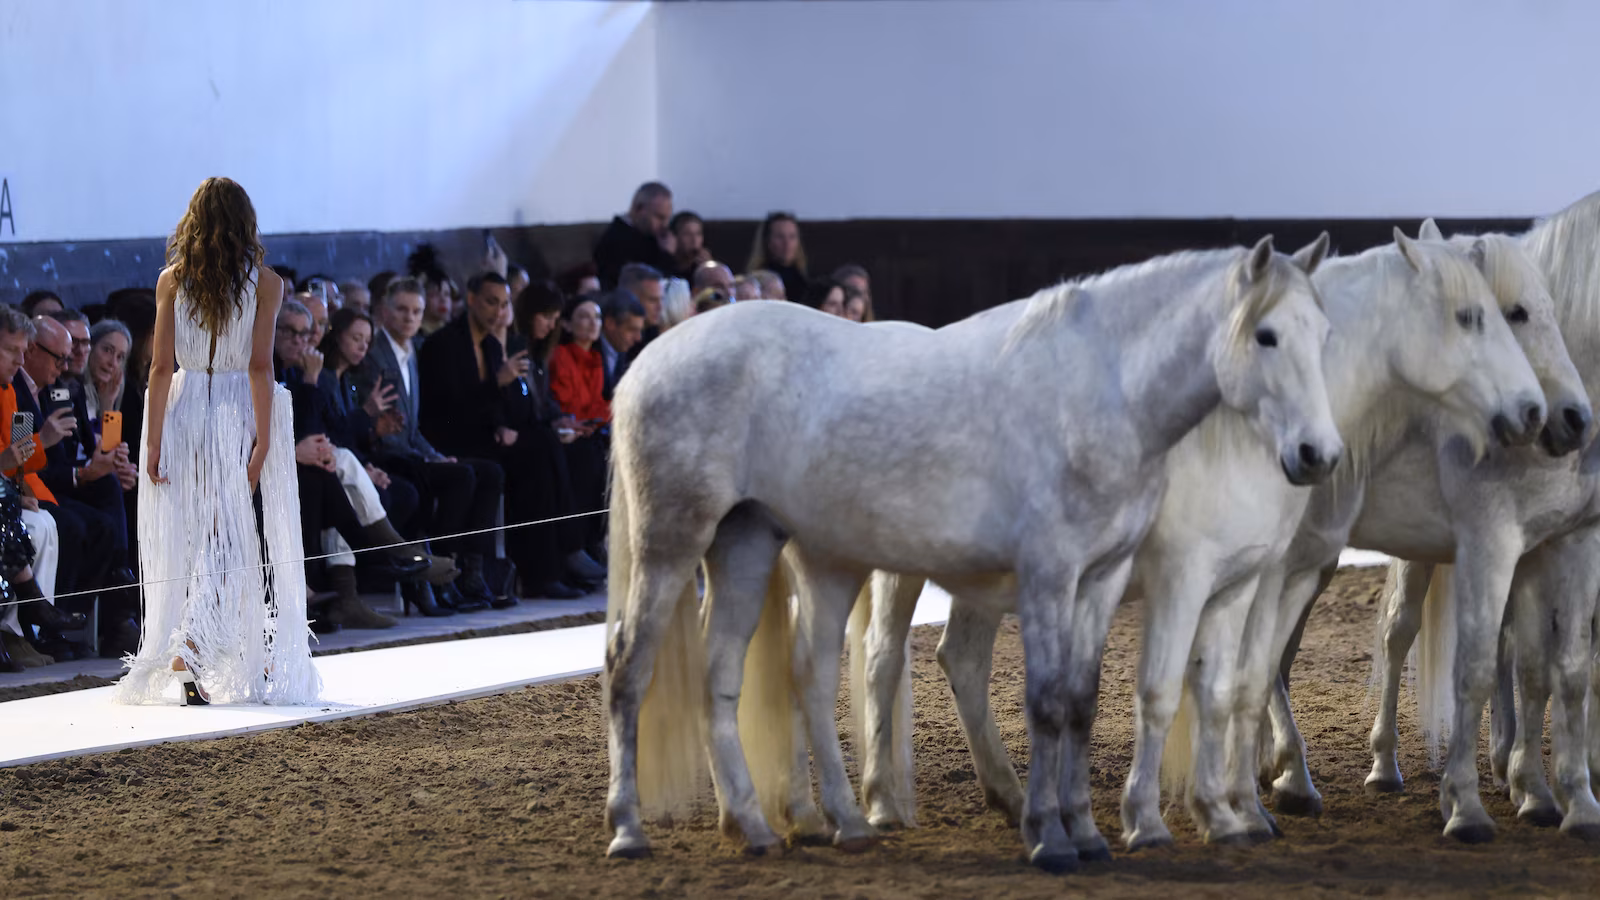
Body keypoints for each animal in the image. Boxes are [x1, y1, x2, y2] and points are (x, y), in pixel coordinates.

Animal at [602, 235, 1344, 874]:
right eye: (1266, 335)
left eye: (1322, 334)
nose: (1317, 454)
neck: (1100, 395)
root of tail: (648, 361)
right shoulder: (1055, 576)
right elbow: (1048, 703)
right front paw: (1050, 838)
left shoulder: (1102, 580)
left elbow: (1084, 701)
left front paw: (1088, 832)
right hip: (673, 543)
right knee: (630, 667)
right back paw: (630, 830)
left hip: (755, 543)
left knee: (741, 675)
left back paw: (780, 825)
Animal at [851, 226, 1554, 850]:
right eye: (1474, 316)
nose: (1536, 415)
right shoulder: (1208, 574)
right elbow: (1219, 684)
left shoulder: (1273, 575)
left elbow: (1239, 684)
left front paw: (1244, 806)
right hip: (908, 566)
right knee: (884, 659)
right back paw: (881, 804)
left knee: (961, 659)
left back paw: (1008, 794)